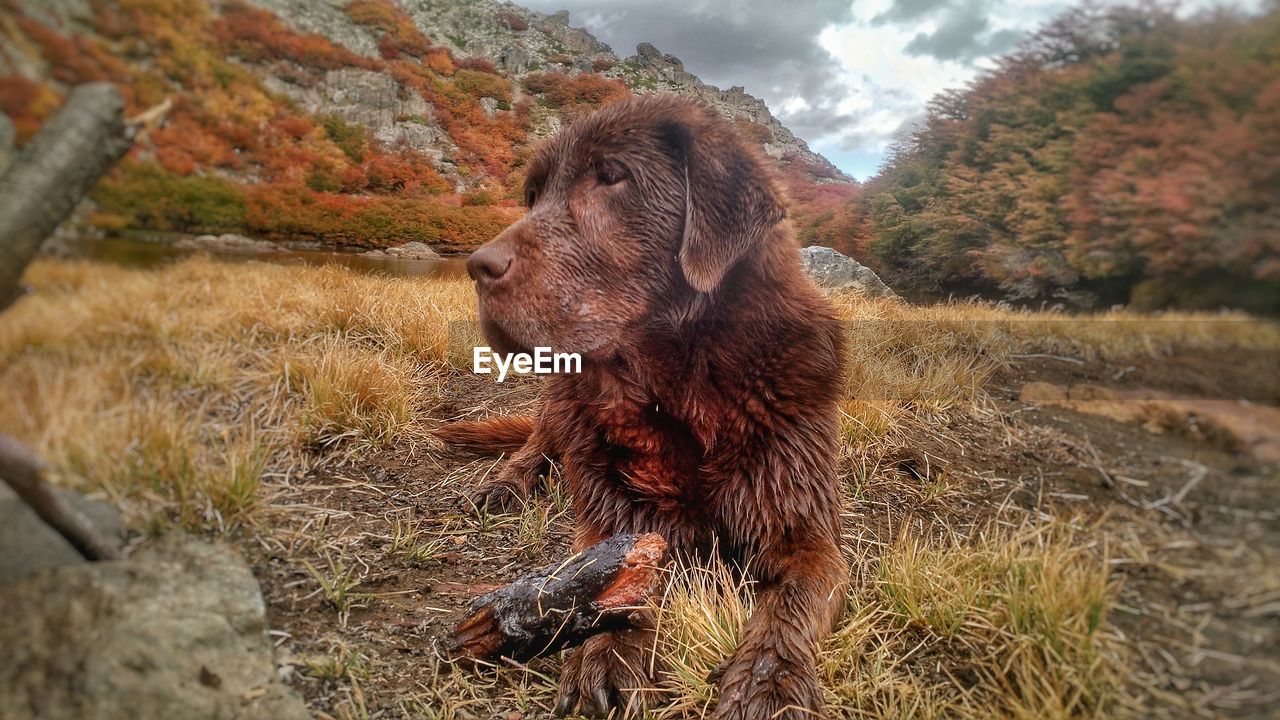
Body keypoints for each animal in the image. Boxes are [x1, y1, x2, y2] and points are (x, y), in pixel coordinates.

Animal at [440, 96, 849, 717]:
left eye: (611, 176)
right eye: (532, 195)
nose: (476, 267)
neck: (682, 394)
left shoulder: (804, 532)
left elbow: (792, 603)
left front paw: (770, 684)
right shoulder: (614, 519)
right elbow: (608, 580)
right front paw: (608, 652)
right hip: (559, 406)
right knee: (535, 444)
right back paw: (502, 484)